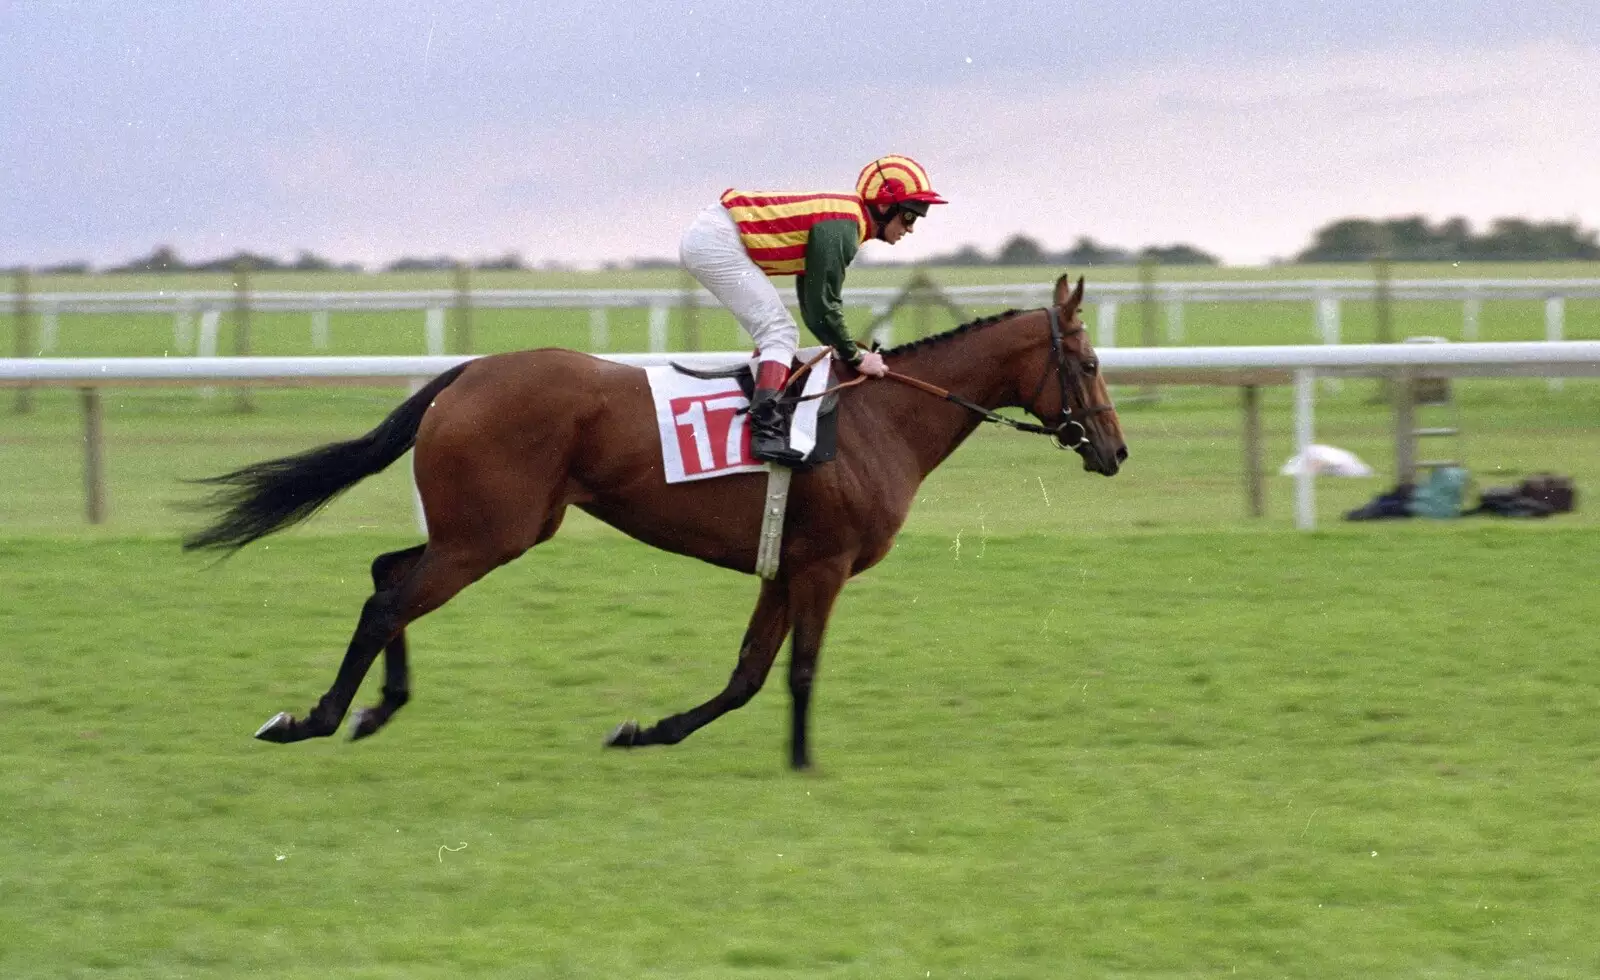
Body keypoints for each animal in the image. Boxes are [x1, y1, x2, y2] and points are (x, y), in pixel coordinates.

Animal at [184, 272, 1126, 768]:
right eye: (1086, 363)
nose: (1115, 451)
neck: (878, 422)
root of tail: (466, 373)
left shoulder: (787, 566)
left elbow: (748, 675)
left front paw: (646, 731)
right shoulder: (823, 567)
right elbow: (798, 673)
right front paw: (804, 765)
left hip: (480, 529)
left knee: (387, 573)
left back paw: (377, 709)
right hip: (490, 535)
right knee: (389, 598)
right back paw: (313, 717)